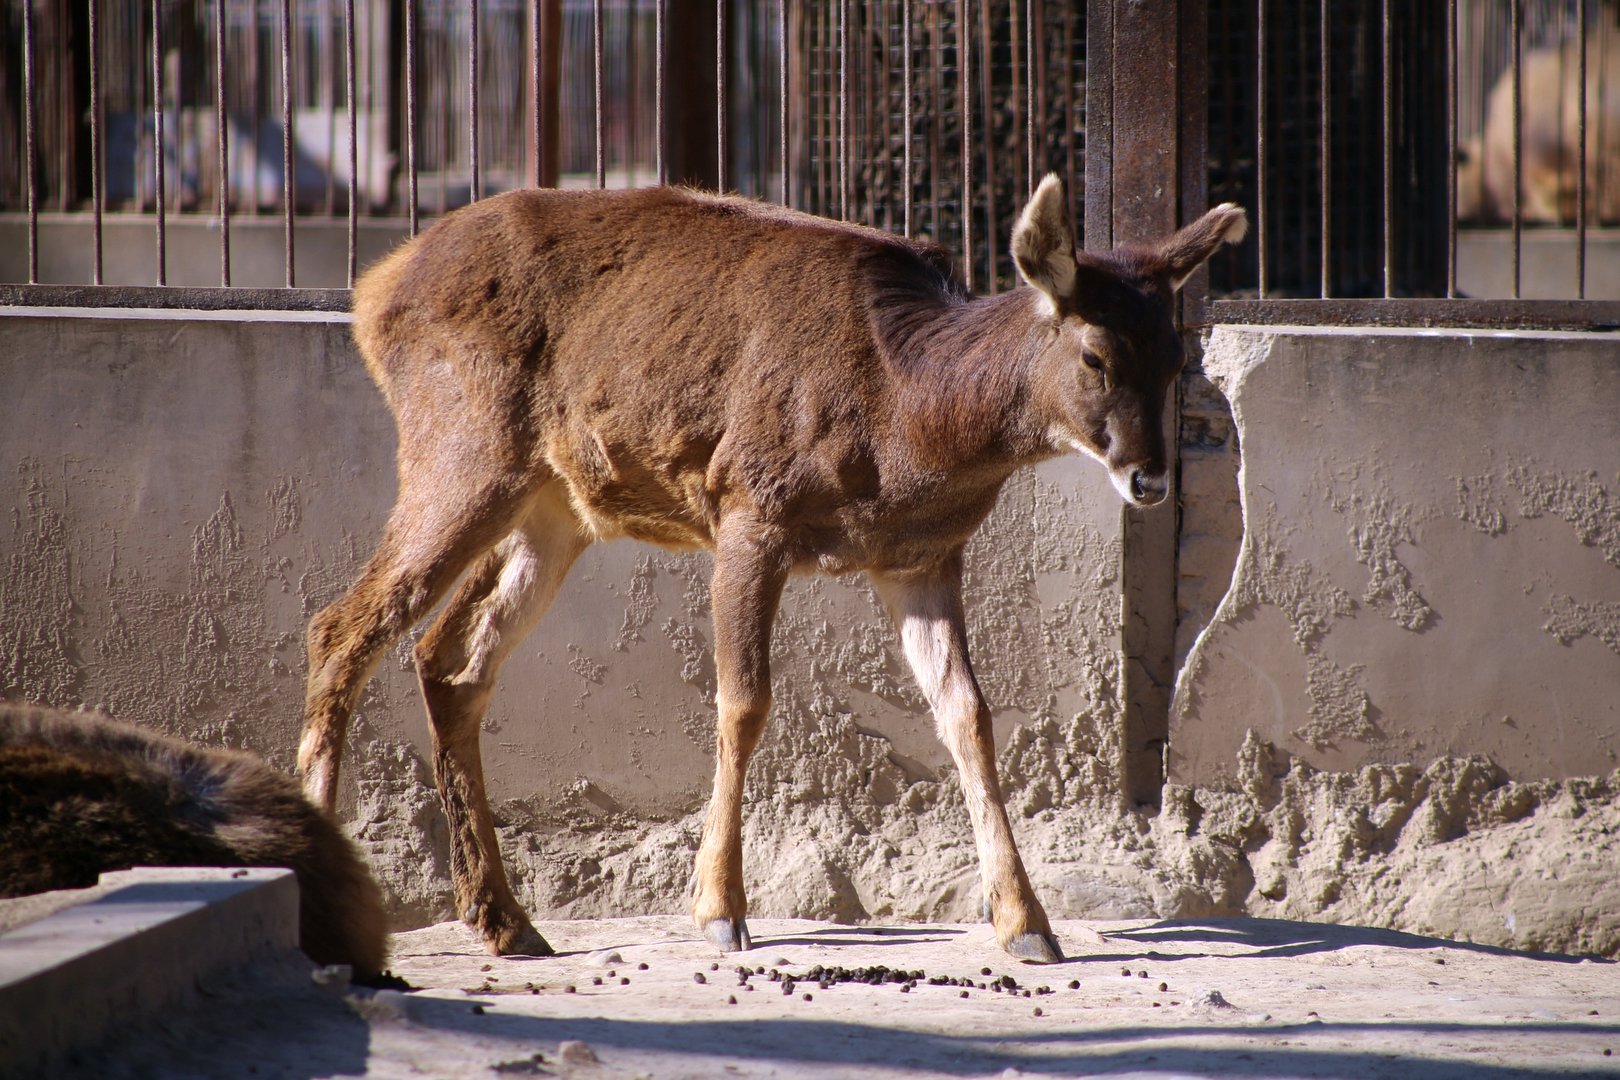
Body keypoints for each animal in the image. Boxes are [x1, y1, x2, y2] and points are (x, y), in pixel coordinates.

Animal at [298, 175, 1246, 964]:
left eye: (1175, 357)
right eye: (1095, 357)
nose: (1151, 479)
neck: (907, 423)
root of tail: (373, 292)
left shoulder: (921, 556)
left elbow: (968, 718)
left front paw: (1027, 924)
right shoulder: (748, 504)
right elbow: (744, 702)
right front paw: (719, 911)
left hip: (554, 508)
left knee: (450, 658)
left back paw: (505, 920)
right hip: (461, 444)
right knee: (342, 627)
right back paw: (329, 907)